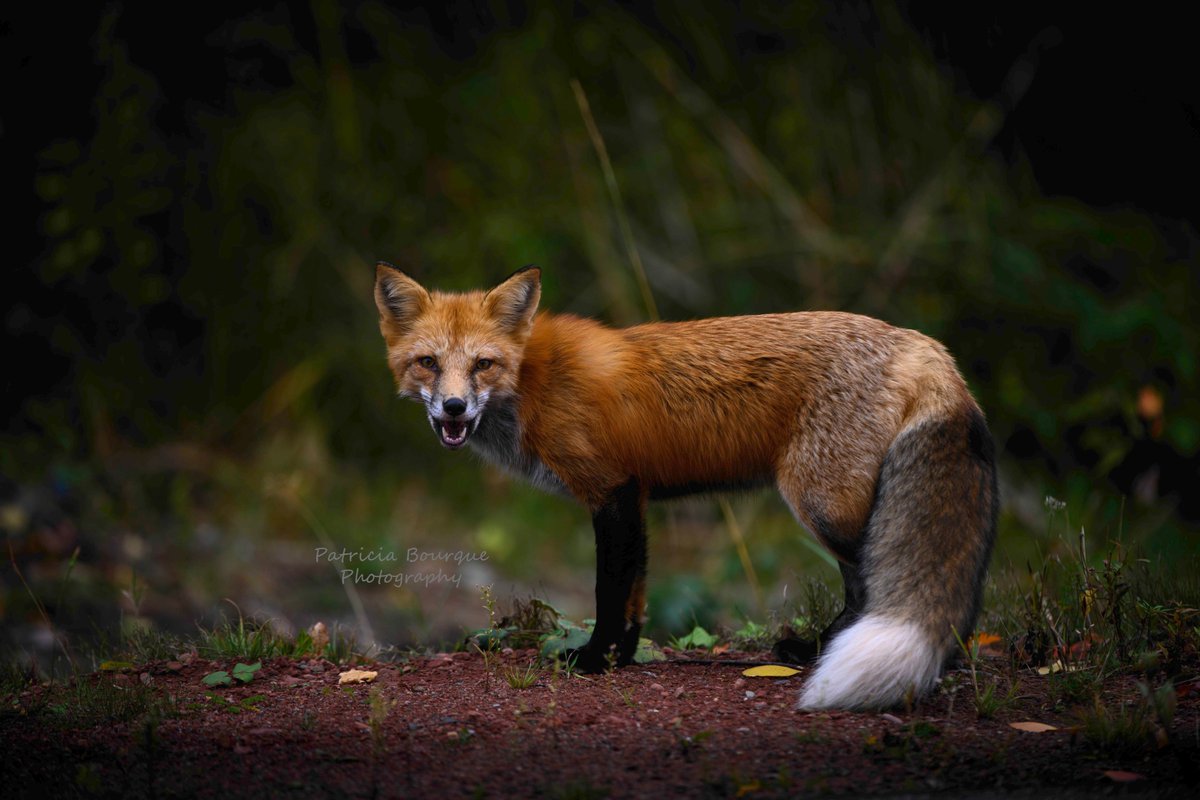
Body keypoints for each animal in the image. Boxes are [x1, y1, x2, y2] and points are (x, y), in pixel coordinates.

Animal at [373, 262, 998, 710]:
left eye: (482, 364)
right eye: (428, 363)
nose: (454, 408)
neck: (533, 380)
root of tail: (925, 345)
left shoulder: (611, 491)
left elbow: (608, 590)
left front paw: (594, 659)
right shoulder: (635, 494)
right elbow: (635, 595)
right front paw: (622, 657)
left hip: (823, 507)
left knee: (873, 583)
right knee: (866, 590)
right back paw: (818, 651)